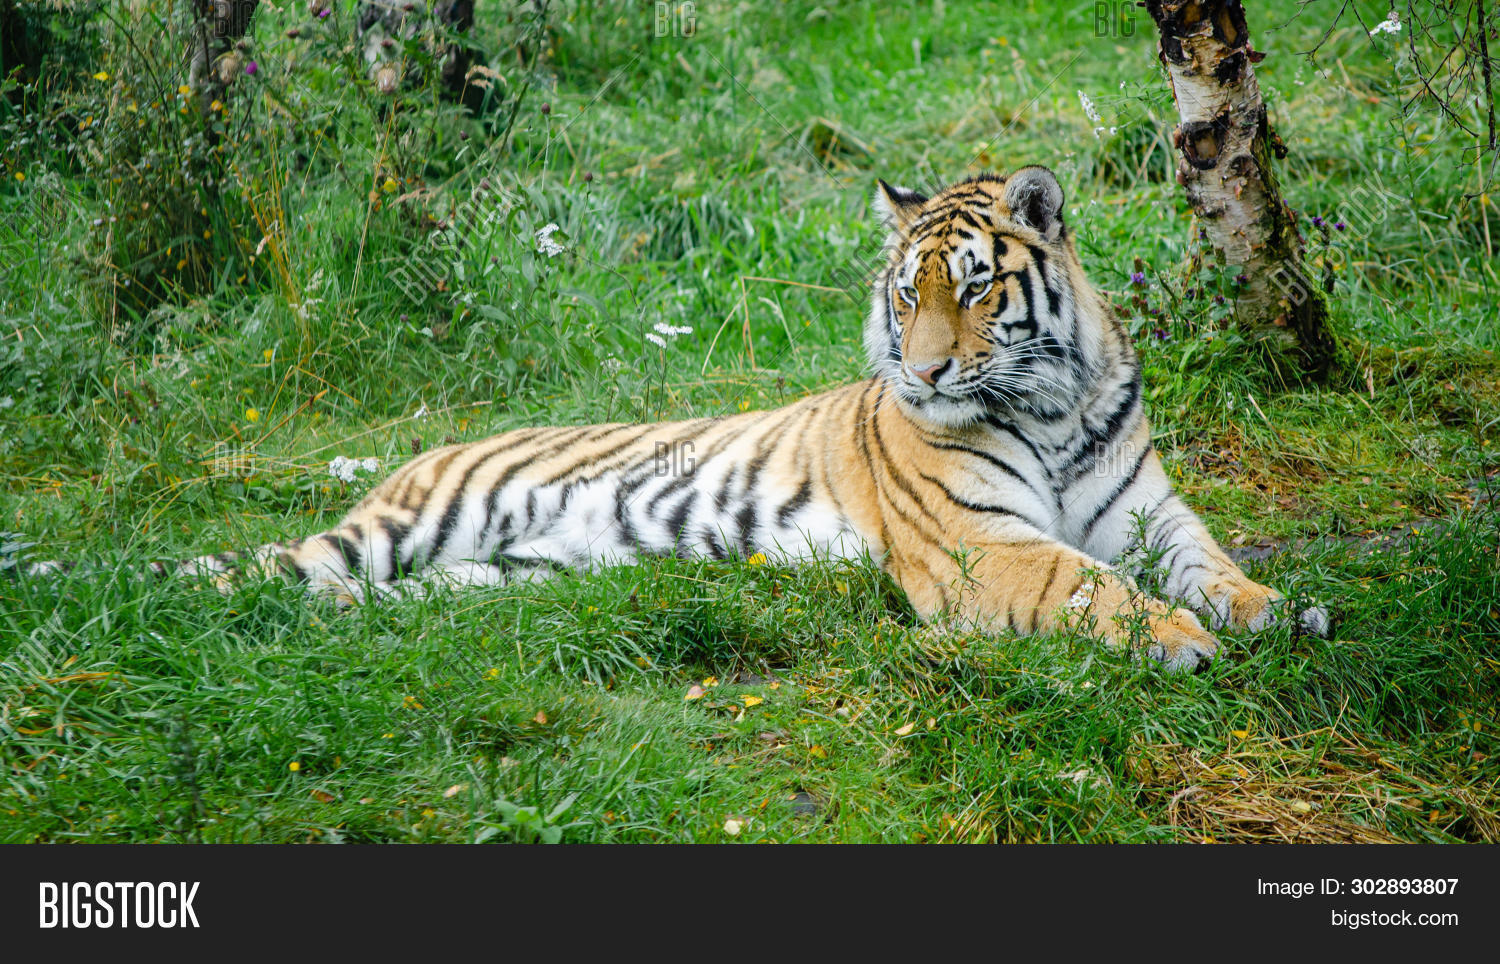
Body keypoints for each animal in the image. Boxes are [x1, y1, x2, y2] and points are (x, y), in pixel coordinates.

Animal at [31, 166, 1328, 671]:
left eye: (971, 289)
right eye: (904, 294)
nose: (919, 377)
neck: (1051, 404)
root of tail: (415, 451)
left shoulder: (1144, 508)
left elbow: (1208, 559)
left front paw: (1275, 610)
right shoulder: (977, 543)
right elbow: (1085, 584)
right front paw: (1178, 638)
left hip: (504, 573)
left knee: (380, 595)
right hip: (397, 525)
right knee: (252, 568)